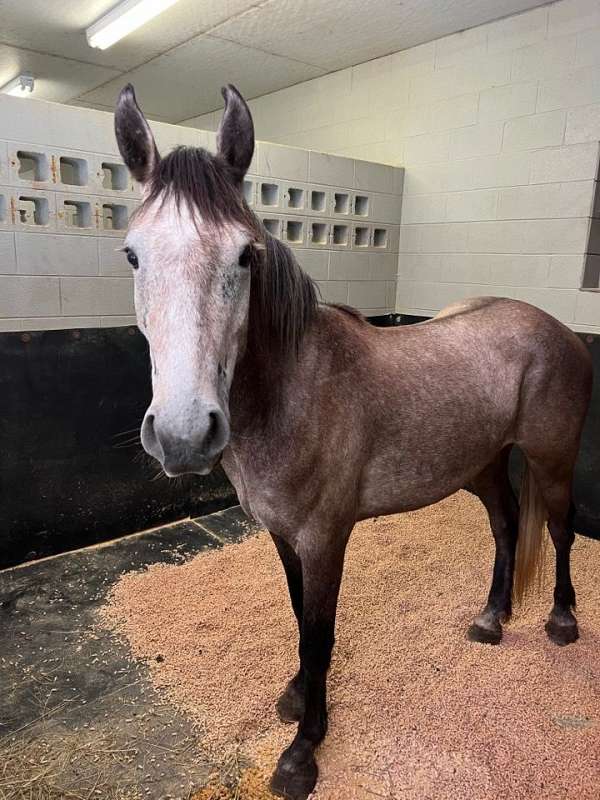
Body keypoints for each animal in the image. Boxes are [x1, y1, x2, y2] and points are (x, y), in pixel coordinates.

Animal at [115, 83, 592, 800]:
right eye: (133, 254)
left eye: (245, 255)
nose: (182, 434)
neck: (294, 392)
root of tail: (559, 329)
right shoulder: (284, 536)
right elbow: (298, 620)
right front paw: (295, 698)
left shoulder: (325, 537)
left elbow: (319, 634)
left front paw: (303, 751)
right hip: (479, 465)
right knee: (507, 526)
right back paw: (491, 619)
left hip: (552, 460)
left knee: (559, 531)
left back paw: (560, 622)